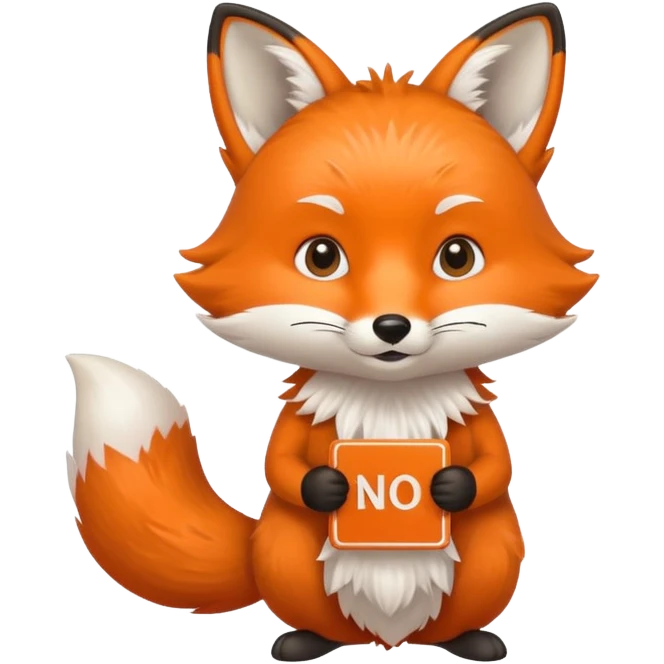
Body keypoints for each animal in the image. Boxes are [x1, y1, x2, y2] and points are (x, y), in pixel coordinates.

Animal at [64, 2, 596, 663]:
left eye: (457, 257)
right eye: (322, 256)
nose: (391, 326)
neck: (390, 401)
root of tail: (388, 637)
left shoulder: (481, 434)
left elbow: (495, 468)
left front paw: (451, 485)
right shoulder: (294, 432)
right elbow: (283, 469)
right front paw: (329, 487)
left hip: (496, 553)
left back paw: (473, 640)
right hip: (285, 555)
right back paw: (303, 641)